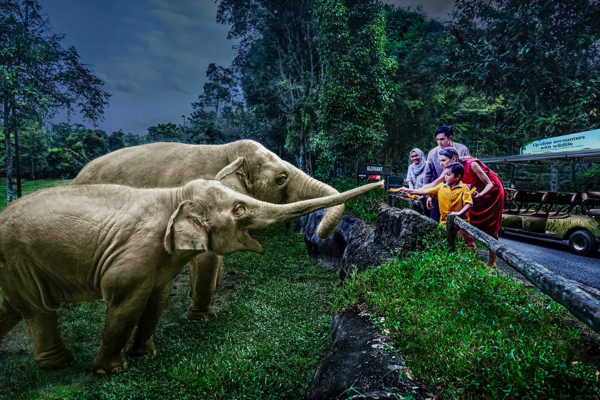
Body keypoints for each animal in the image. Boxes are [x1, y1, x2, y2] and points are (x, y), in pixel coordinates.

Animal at [0, 180, 384, 374]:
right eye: (240, 208)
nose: (380, 183)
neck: (174, 196)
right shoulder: (135, 255)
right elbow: (125, 303)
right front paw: (113, 370)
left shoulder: (159, 261)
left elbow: (156, 300)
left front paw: (146, 356)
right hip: (17, 256)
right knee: (38, 309)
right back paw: (60, 365)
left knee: (13, 308)